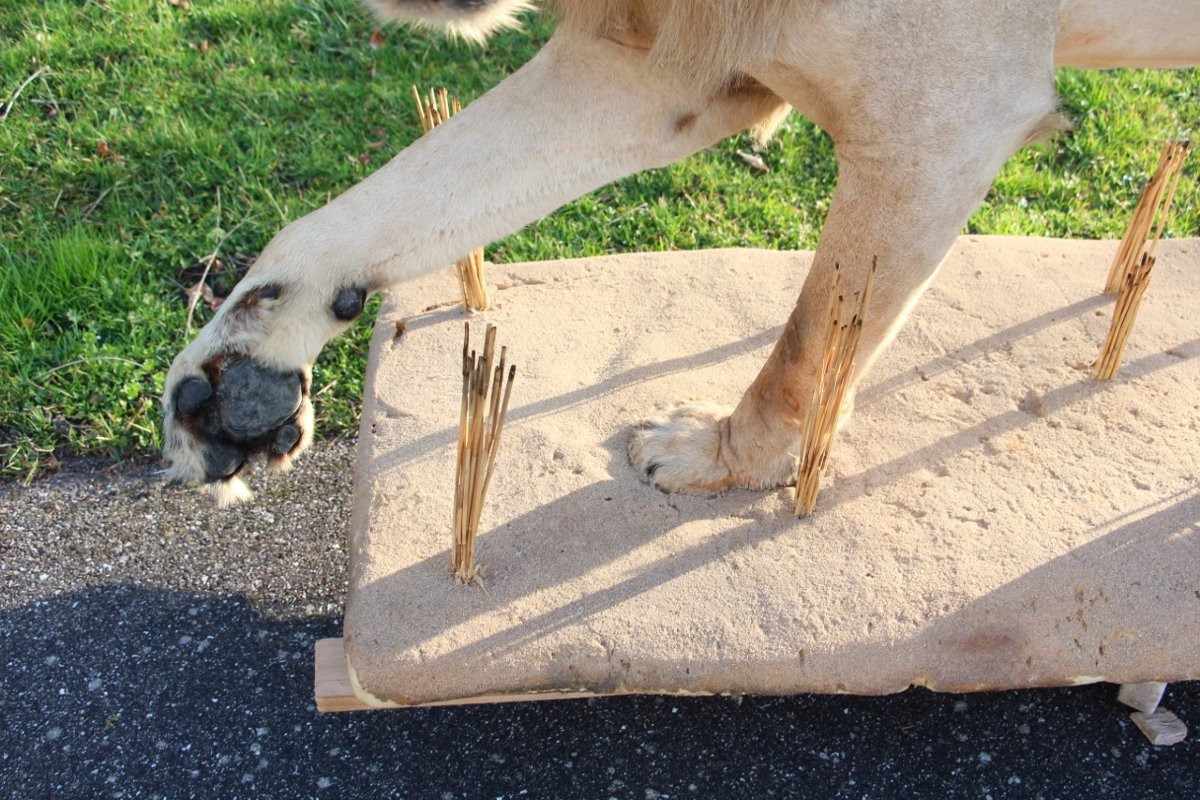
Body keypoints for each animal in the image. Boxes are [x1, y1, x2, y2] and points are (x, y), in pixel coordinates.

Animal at [161, 0, 1200, 505]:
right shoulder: (660, 70)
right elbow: (370, 212)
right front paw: (228, 380)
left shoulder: (939, 124)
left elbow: (809, 345)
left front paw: (719, 461)